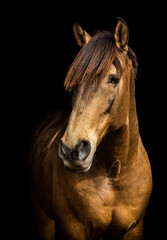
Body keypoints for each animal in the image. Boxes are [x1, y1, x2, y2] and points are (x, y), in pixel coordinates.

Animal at [29, 17, 153, 239]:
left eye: (114, 78)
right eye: (73, 81)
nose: (72, 150)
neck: (114, 174)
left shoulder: (135, 229)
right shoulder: (75, 228)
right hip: (42, 218)